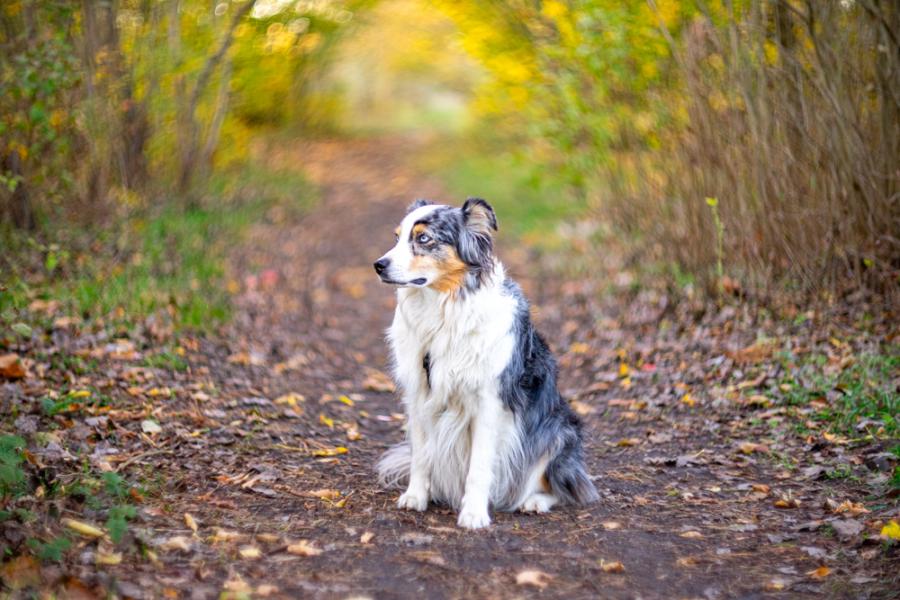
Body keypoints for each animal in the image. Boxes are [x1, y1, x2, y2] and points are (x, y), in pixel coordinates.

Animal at [372, 198, 596, 528]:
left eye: (424, 239)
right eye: (396, 237)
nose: (378, 265)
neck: (444, 312)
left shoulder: (489, 402)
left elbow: (479, 466)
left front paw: (474, 513)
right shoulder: (419, 395)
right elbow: (421, 455)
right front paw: (416, 496)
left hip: (558, 431)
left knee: (564, 487)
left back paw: (535, 501)